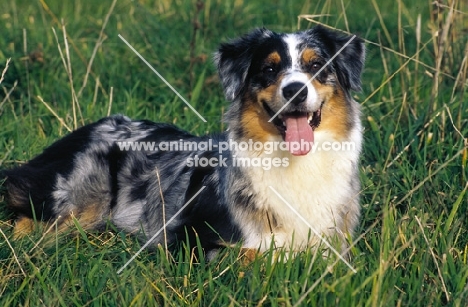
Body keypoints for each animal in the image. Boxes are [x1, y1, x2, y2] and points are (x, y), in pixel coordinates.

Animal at [2, 25, 366, 258]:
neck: (294, 161)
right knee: (28, 219)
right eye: (269, 69)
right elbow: (255, 257)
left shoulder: (336, 240)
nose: (295, 91)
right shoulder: (192, 237)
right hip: (81, 193)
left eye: (316, 64)